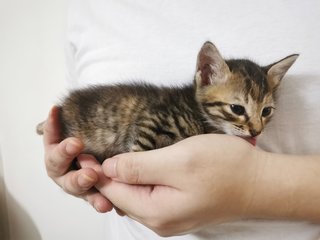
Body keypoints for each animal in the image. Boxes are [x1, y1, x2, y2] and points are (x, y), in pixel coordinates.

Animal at [37, 42, 298, 162]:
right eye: (237, 108)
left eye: (266, 111)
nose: (257, 131)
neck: (196, 112)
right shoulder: (151, 120)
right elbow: (139, 150)